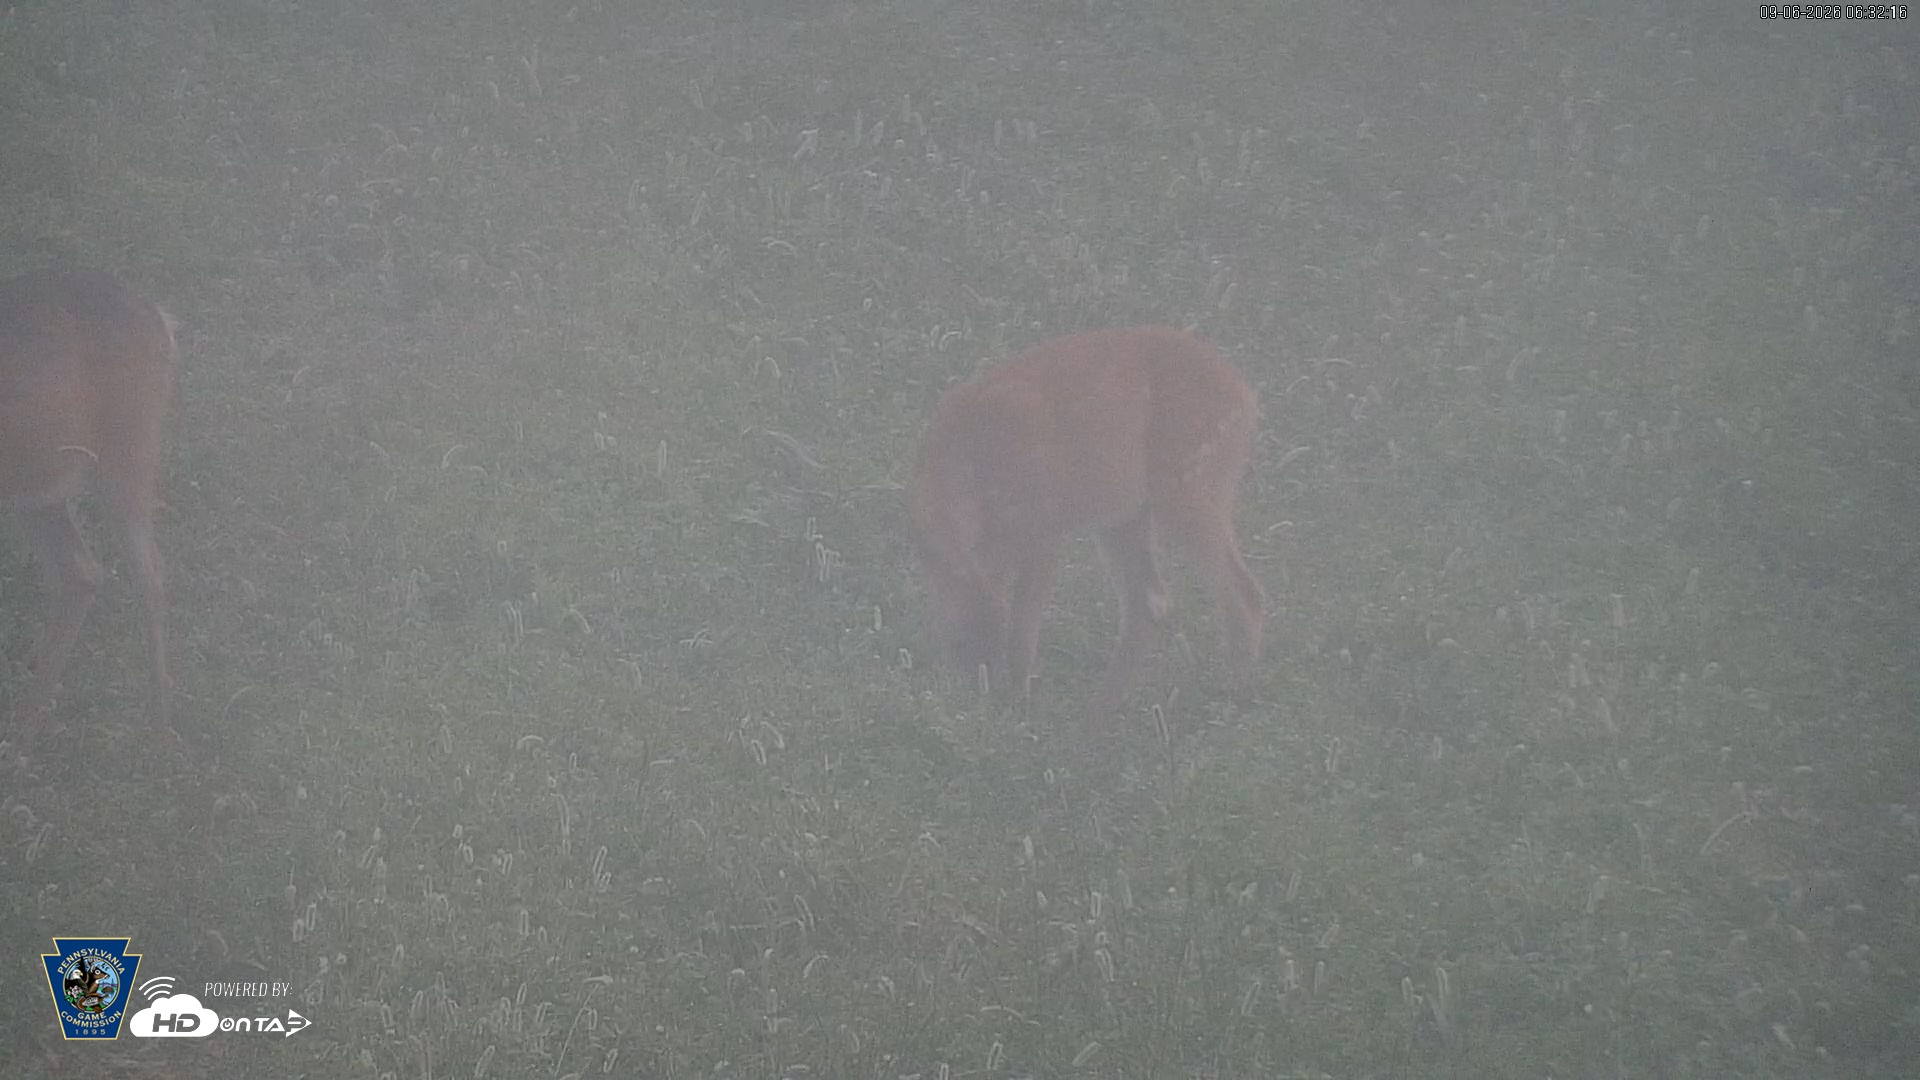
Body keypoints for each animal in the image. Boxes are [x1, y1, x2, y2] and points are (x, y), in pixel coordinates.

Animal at [0, 270, 177, 731]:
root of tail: (161, 322)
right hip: (37, 482)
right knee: (81, 571)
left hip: (128, 454)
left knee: (149, 570)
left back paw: (162, 724)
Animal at [909, 325, 1266, 712]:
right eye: (953, 642)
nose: (978, 695)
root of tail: (1245, 393)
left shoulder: (1043, 525)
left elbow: (1023, 626)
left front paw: (1019, 703)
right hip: (1125, 515)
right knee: (1150, 602)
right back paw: (1099, 712)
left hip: (1188, 483)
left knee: (1243, 592)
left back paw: (1230, 694)